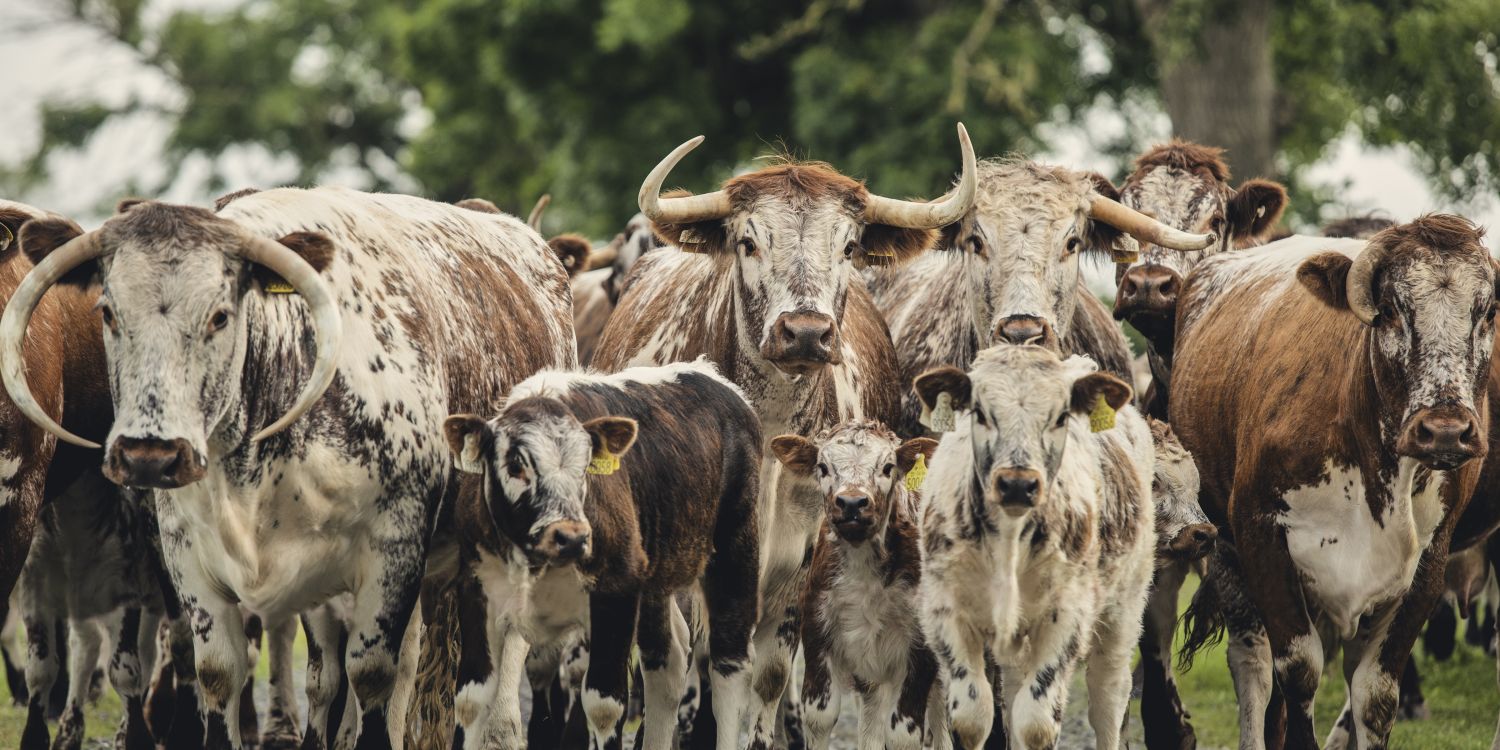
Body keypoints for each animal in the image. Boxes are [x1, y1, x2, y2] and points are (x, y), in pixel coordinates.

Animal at [0, 187, 577, 749]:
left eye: (220, 315)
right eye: (108, 312)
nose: (150, 454)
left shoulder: (394, 545)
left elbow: (370, 672)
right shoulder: (189, 553)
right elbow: (224, 674)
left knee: (501, 657)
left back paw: (503, 731)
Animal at [443, 359, 762, 750]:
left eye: (585, 468)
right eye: (516, 465)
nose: (570, 537)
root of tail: (713, 378)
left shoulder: (615, 595)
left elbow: (604, 705)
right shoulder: (477, 592)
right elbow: (471, 698)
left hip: (736, 548)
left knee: (730, 662)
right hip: (656, 581)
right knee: (667, 661)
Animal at [767, 420, 941, 750]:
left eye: (887, 467)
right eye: (823, 467)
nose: (851, 503)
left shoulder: (920, 652)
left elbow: (903, 734)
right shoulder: (817, 636)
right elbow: (820, 717)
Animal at [915, 344, 1156, 750]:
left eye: (1060, 416)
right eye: (980, 413)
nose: (1017, 484)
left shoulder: (1066, 615)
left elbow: (1037, 723)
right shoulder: (945, 610)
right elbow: (971, 718)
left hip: (1123, 610)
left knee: (1108, 699)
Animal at [1170, 217, 1496, 750]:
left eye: (1486, 312)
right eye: (1391, 310)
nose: (1446, 430)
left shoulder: (1427, 565)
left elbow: (1375, 694)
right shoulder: (1262, 540)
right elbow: (1299, 671)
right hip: (1221, 549)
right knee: (1254, 666)